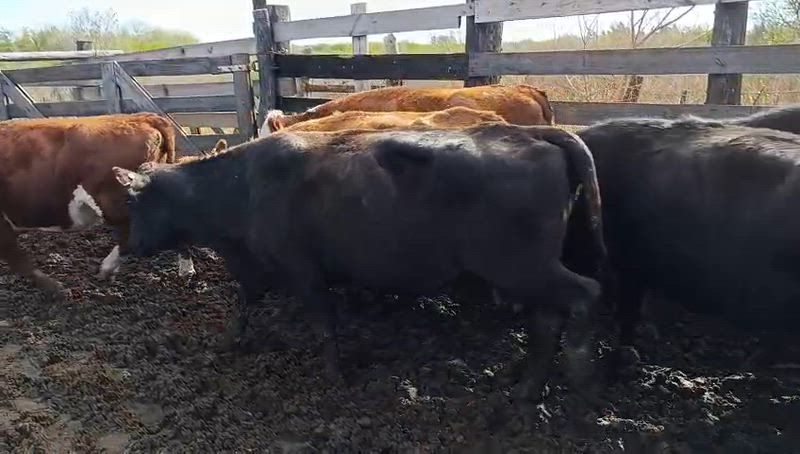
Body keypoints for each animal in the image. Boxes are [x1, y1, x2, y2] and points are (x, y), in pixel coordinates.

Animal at [0, 113, 196, 297]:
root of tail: (143, 117)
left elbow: (17, 260)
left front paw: (56, 289)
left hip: (116, 202)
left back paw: (107, 268)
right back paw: (186, 270)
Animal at [113, 124, 606, 403]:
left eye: (134, 202)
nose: (133, 245)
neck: (241, 186)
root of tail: (532, 133)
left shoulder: (302, 270)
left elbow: (322, 324)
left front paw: (333, 374)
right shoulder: (261, 266)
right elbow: (245, 300)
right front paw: (230, 340)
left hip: (521, 265)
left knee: (584, 296)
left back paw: (576, 373)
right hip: (526, 270)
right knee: (549, 316)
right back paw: (525, 386)